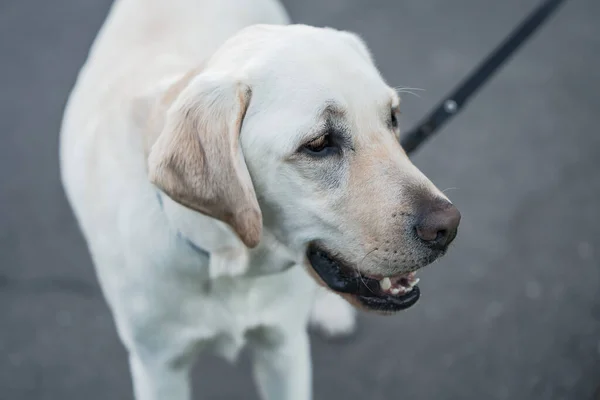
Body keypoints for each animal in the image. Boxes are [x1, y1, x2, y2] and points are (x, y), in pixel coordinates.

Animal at [59, 0, 460, 400]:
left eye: (392, 118)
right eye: (318, 144)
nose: (449, 227)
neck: (228, 262)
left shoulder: (283, 348)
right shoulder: (159, 367)